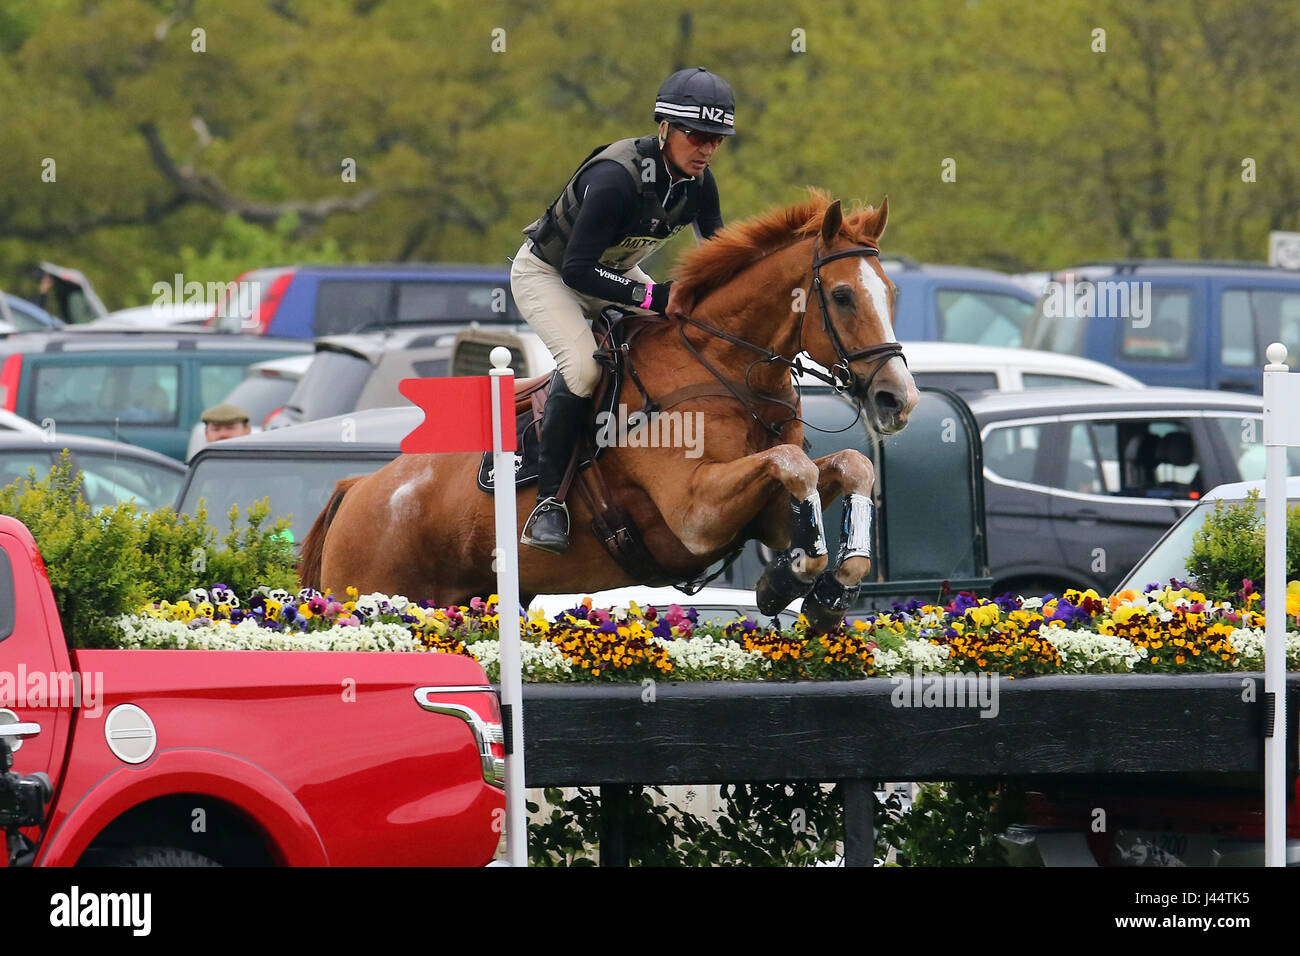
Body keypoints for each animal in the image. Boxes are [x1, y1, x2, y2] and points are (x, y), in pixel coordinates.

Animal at [299, 187, 920, 634]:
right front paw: (789, 580)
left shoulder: (760, 513)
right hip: (381, 591)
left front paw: (820, 590)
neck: (723, 368)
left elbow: (844, 467)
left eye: (892, 295)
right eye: (841, 296)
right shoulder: (695, 515)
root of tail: (358, 489)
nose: (897, 398)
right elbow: (795, 464)